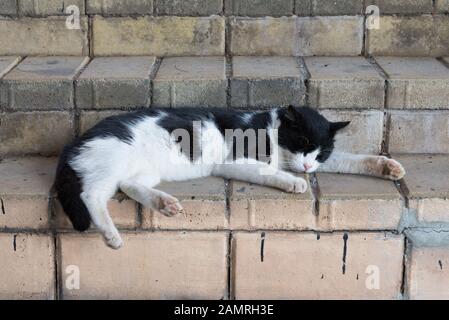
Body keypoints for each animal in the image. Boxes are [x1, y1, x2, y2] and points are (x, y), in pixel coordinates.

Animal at [54, 106, 404, 249]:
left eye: (320, 152)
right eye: (302, 142)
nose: (307, 168)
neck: (269, 129)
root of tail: (75, 141)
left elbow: (349, 159)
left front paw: (387, 167)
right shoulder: (231, 161)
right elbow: (267, 170)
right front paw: (293, 182)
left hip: (143, 169)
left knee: (128, 185)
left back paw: (164, 203)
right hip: (112, 161)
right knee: (91, 195)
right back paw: (111, 235)